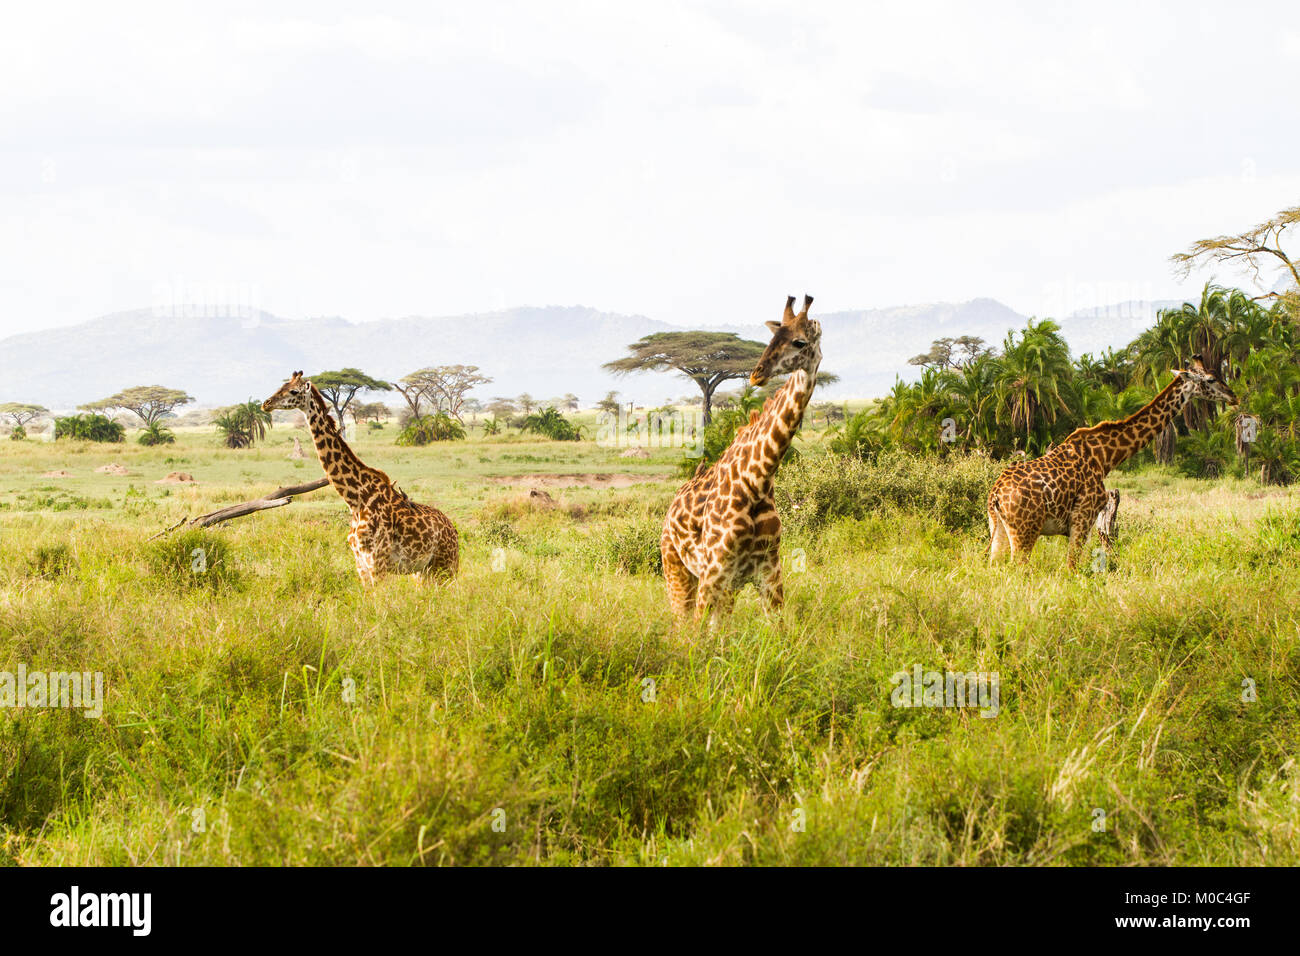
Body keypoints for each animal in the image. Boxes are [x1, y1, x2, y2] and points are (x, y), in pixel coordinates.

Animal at [258, 371, 457, 582]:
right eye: (281, 387)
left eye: (293, 391)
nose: (266, 403)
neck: (356, 500)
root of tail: (453, 530)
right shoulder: (360, 564)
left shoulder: (378, 564)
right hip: (422, 572)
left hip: (446, 567)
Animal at [660, 291, 821, 624]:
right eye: (772, 338)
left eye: (799, 342)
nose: (757, 374)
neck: (757, 480)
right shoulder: (712, 573)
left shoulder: (769, 573)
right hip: (677, 570)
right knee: (682, 626)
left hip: (727, 589)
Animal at [982, 356, 1237, 567]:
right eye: (1211, 379)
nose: (1233, 396)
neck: (1105, 456)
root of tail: (995, 495)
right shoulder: (1083, 518)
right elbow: (1072, 568)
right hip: (1025, 531)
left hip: (999, 529)